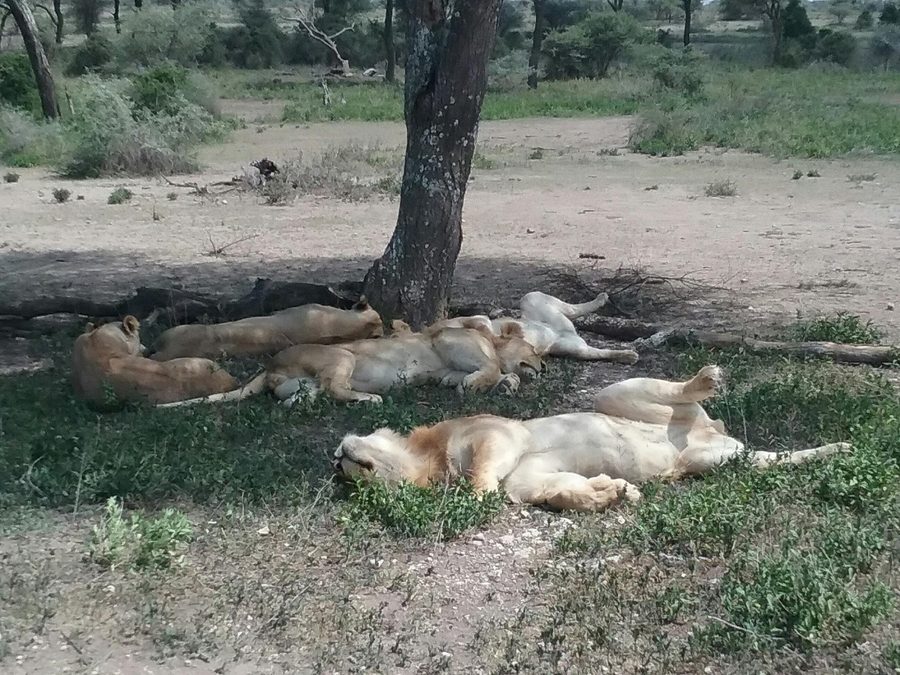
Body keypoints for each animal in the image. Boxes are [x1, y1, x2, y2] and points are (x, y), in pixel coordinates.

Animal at [333, 365, 850, 511]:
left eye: (348, 474)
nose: (336, 459)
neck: (431, 461)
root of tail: (714, 434)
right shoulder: (528, 480)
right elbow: (561, 491)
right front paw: (613, 491)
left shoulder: (494, 434)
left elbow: (483, 472)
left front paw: (471, 495)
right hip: (717, 462)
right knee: (777, 458)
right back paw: (839, 449)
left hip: (616, 393)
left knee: (676, 390)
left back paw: (707, 377)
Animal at [404, 291, 639, 365]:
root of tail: (562, 332)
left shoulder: (478, 318)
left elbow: (484, 324)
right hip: (572, 348)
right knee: (596, 351)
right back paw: (627, 356)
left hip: (531, 298)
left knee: (574, 308)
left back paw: (602, 298)